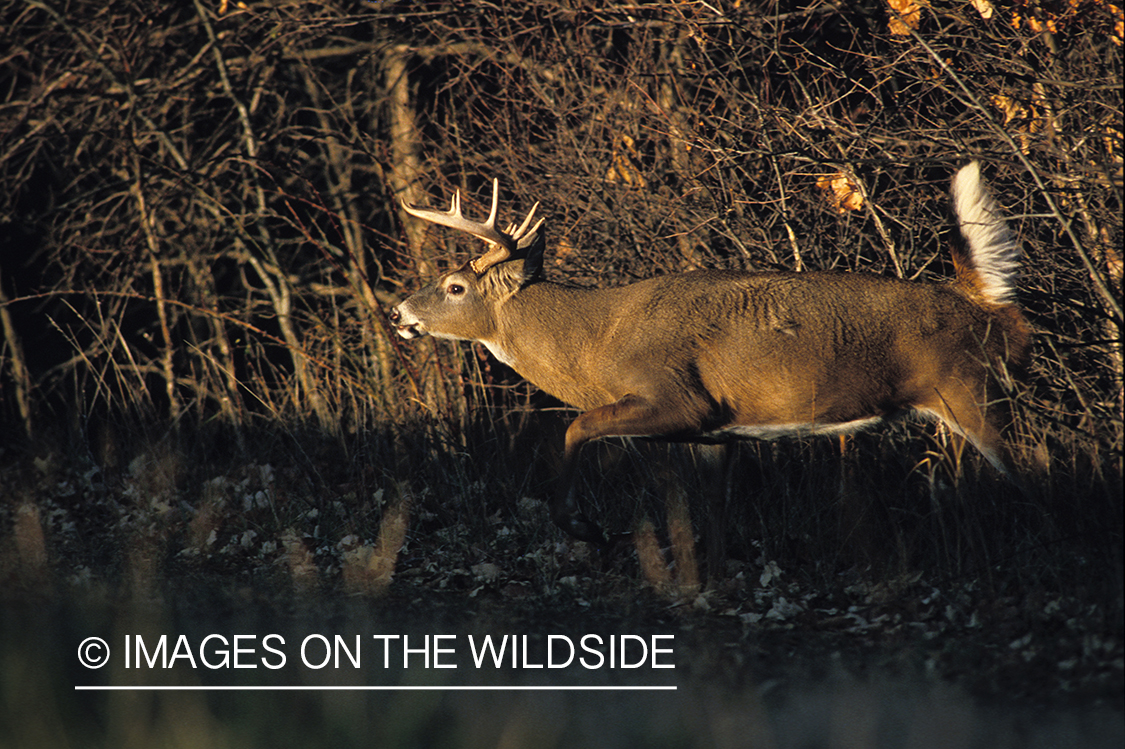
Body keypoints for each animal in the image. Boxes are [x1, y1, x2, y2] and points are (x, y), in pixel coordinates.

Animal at [391, 165, 1030, 548]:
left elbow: (577, 427)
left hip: (972, 390)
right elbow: (712, 513)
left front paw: (581, 525)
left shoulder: (681, 398)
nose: (398, 314)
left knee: (1033, 469)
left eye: (454, 286)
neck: (596, 343)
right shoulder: (718, 431)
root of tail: (984, 304)